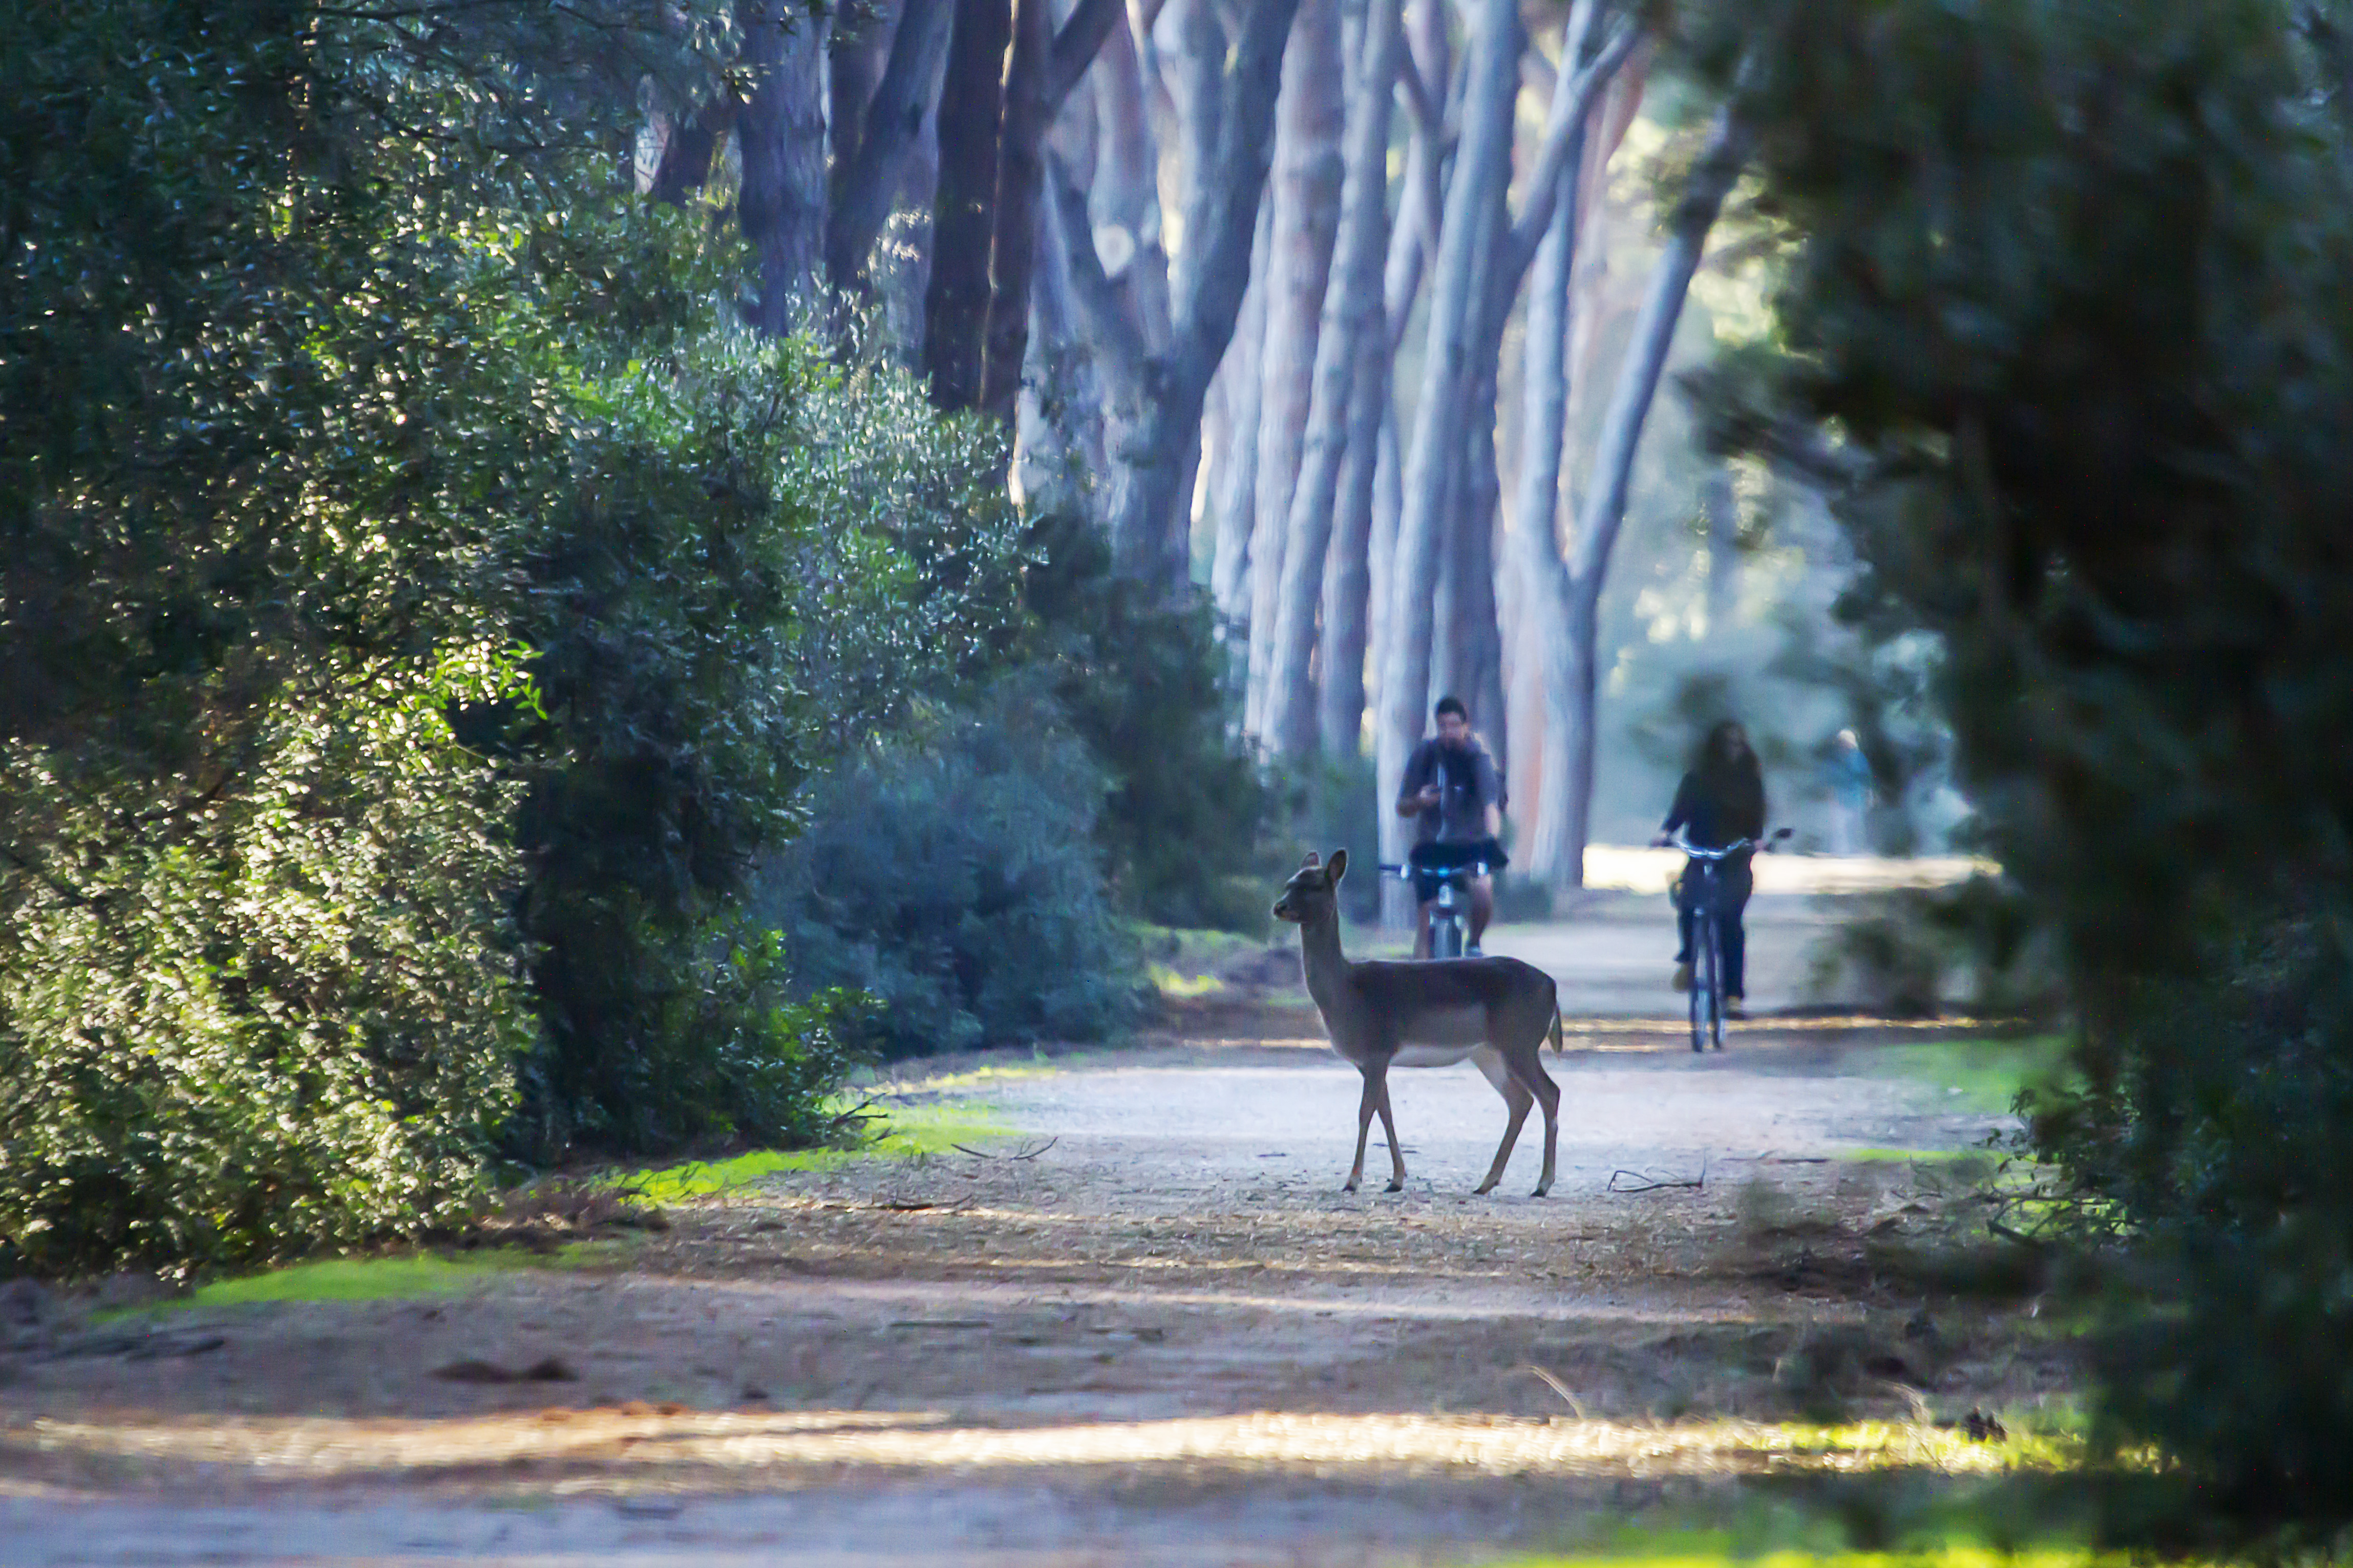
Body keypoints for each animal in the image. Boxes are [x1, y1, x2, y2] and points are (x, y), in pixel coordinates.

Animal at [1270, 851, 1562, 1194]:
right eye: (1289, 883)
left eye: (1315, 885)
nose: (1280, 907)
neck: (1347, 992)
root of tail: (1552, 987)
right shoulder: (1367, 1061)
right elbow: (1385, 1111)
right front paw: (1396, 1178)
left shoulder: (1378, 1048)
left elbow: (1365, 1112)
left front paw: (1353, 1180)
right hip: (1489, 1052)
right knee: (1520, 1101)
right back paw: (1487, 1182)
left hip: (1520, 1039)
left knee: (1550, 1093)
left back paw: (1543, 1183)